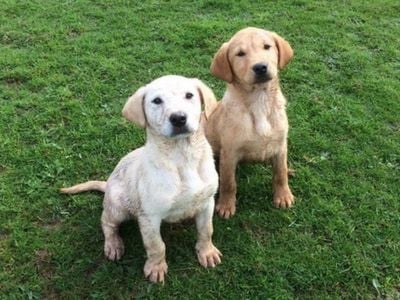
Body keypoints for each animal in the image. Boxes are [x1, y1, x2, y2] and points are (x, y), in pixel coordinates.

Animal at [61, 75, 222, 284]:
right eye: (157, 101)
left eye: (189, 95)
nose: (178, 118)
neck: (182, 157)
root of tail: (107, 183)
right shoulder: (149, 216)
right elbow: (156, 245)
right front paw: (156, 267)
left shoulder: (207, 202)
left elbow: (206, 230)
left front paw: (207, 252)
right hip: (118, 206)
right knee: (106, 222)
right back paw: (113, 244)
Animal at [206, 27, 294, 218]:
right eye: (240, 54)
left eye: (267, 46)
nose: (260, 67)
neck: (259, 99)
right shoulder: (229, 153)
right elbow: (229, 183)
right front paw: (226, 205)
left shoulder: (281, 145)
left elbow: (280, 173)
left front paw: (283, 196)